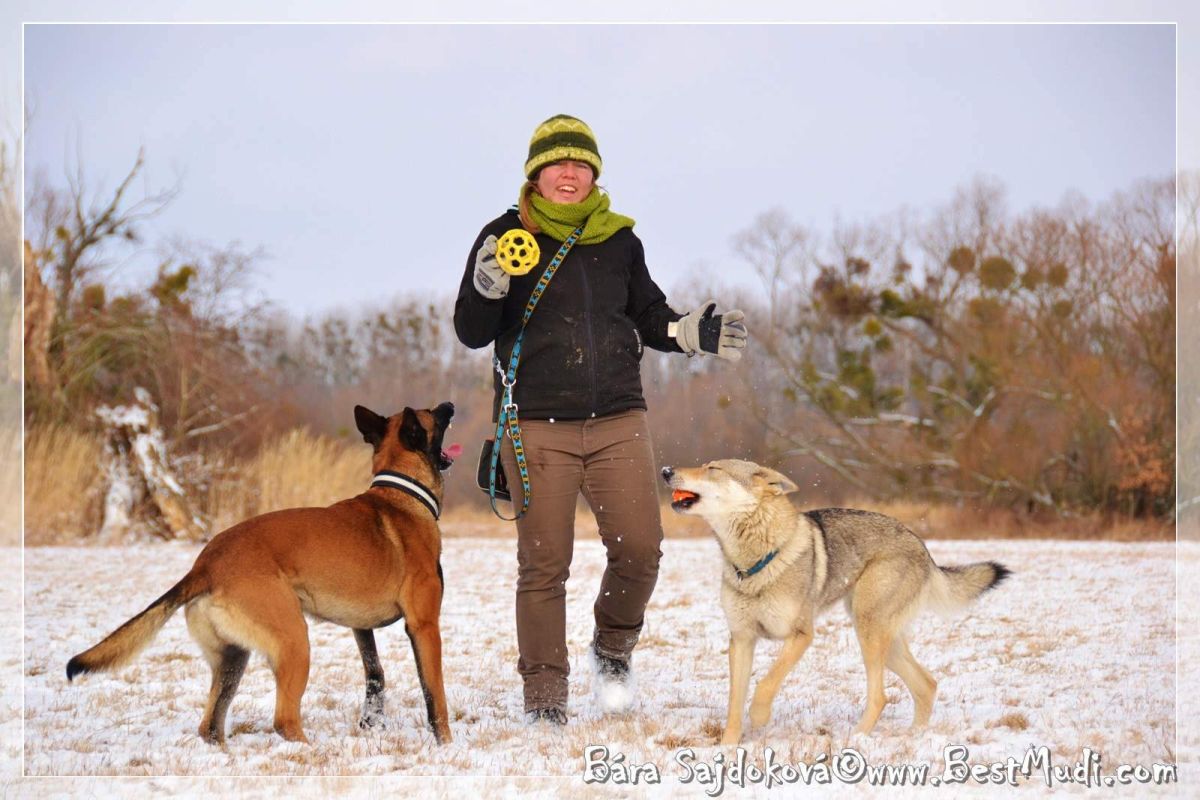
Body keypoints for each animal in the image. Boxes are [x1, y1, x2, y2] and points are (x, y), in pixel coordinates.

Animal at [68, 402, 456, 748]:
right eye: (433, 414)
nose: (450, 405)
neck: (401, 493)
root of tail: (204, 565)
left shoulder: (361, 627)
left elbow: (375, 675)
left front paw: (372, 724)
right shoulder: (424, 626)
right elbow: (434, 693)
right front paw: (445, 743)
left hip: (232, 658)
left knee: (210, 725)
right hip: (294, 641)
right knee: (283, 719)